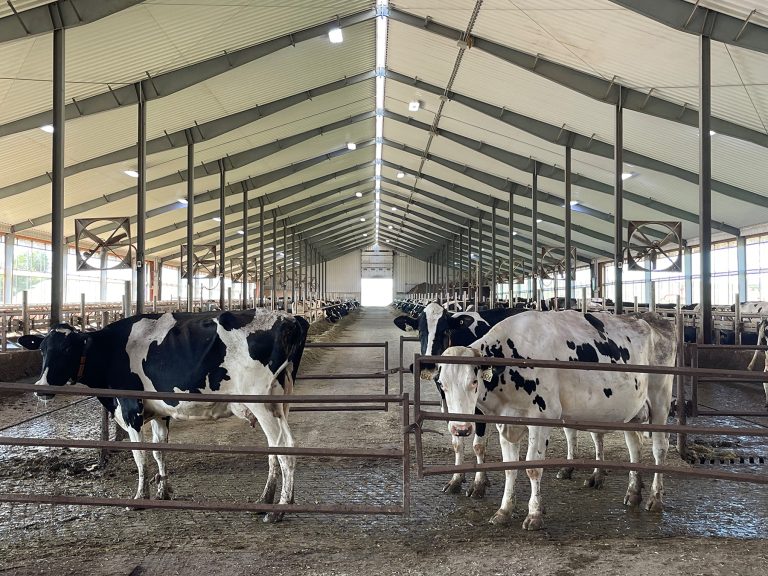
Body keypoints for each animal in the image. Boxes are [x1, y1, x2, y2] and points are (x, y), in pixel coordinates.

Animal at [18, 310, 306, 520]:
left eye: (67, 349)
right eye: (42, 349)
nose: (41, 388)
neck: (110, 349)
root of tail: (287, 318)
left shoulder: (130, 408)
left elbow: (140, 455)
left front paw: (139, 498)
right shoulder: (159, 412)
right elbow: (159, 451)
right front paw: (162, 492)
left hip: (261, 401)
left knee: (283, 448)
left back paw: (278, 510)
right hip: (279, 403)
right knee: (279, 448)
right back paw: (267, 500)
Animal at [392, 304, 524, 498]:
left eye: (445, 330)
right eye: (420, 331)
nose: (428, 364)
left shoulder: (480, 406)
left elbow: (478, 445)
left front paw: (479, 484)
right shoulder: (447, 403)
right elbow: (457, 443)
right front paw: (456, 479)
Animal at [436, 310, 676, 532]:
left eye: (473, 381)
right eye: (441, 384)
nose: (460, 428)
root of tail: (653, 317)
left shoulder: (542, 418)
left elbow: (533, 468)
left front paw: (534, 514)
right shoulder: (506, 422)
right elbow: (509, 468)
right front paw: (504, 511)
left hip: (660, 401)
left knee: (659, 448)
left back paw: (655, 498)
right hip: (632, 411)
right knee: (634, 446)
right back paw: (633, 493)